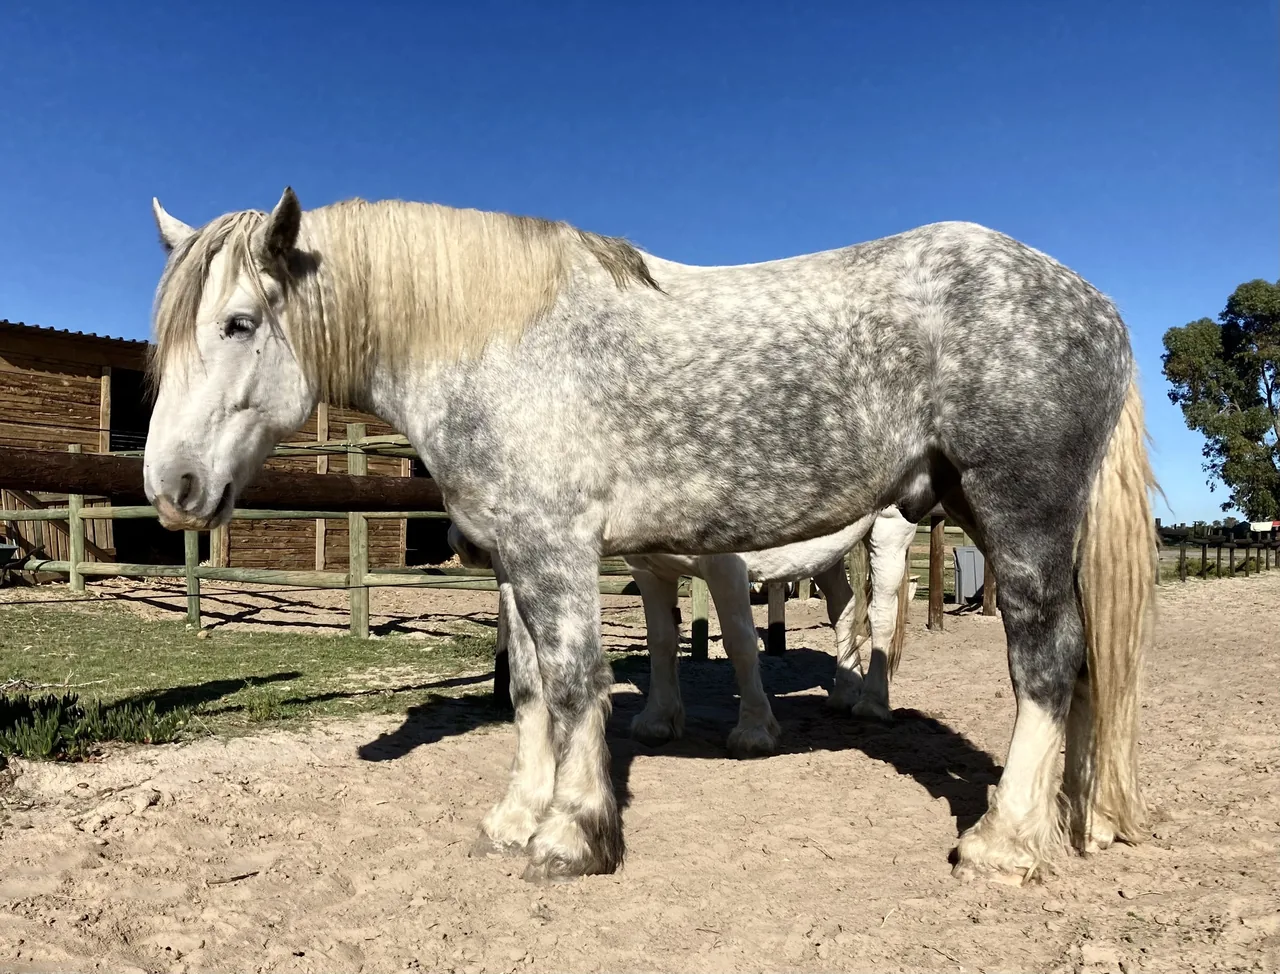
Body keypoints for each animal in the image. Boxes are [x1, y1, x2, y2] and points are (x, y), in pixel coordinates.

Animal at [447, 506, 919, 759]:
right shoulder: (648, 571)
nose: (467, 543)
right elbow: (661, 643)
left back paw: (872, 703)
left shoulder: (726, 566)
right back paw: (843, 692)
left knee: (880, 614)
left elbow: (739, 642)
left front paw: (754, 732)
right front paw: (658, 721)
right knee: (843, 607)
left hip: (890, 529)